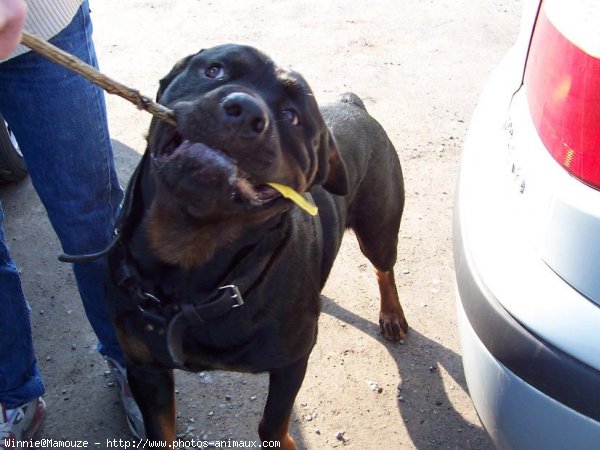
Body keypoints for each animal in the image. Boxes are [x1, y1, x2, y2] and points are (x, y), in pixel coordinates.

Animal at [106, 44, 408, 448]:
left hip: (378, 229)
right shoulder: (144, 369)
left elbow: (272, 423)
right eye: (214, 70)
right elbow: (160, 432)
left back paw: (392, 314)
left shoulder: (292, 360)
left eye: (293, 116)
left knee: (383, 268)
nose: (246, 110)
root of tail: (353, 104)